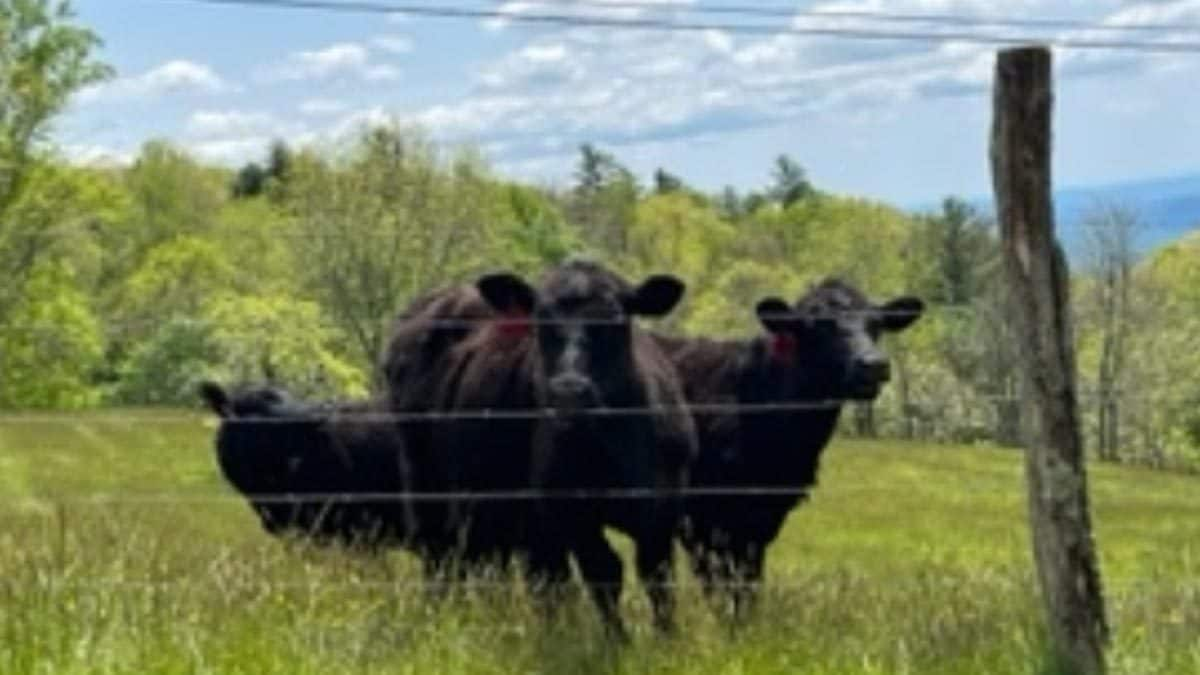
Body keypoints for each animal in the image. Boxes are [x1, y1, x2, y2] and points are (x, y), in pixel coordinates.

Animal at [429, 260, 700, 638]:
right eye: (541, 321)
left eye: (614, 320)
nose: (569, 390)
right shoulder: (570, 510)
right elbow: (604, 571)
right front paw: (617, 640)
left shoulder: (662, 505)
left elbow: (656, 575)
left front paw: (667, 636)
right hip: (465, 508)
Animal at [657, 277, 926, 614]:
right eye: (820, 326)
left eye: (876, 324)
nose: (873, 365)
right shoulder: (701, 518)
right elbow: (718, 585)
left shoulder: (761, 518)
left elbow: (748, 583)